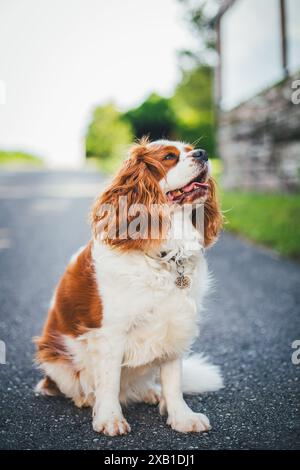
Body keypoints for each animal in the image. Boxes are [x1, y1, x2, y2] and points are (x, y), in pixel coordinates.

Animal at [34, 139, 223, 436]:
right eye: (169, 157)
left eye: (192, 149)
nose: (203, 154)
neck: (164, 254)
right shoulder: (111, 333)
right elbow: (109, 382)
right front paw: (110, 418)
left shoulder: (175, 325)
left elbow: (173, 381)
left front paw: (181, 416)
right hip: (54, 358)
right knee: (74, 384)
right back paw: (86, 398)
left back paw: (150, 392)